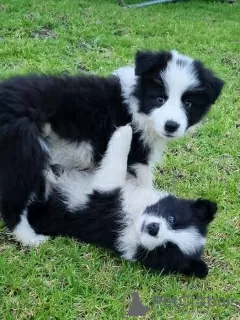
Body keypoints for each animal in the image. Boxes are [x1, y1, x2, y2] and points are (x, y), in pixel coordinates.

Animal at [0, 50, 223, 235]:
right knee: (14, 198)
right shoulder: (137, 156)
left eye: (188, 103)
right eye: (160, 99)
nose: (171, 126)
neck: (136, 106)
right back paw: (30, 238)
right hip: (23, 146)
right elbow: (144, 182)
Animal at [14, 126, 218, 278]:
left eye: (166, 247)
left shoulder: (103, 198)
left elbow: (114, 167)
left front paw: (124, 133)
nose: (153, 229)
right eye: (172, 219)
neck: (133, 218)